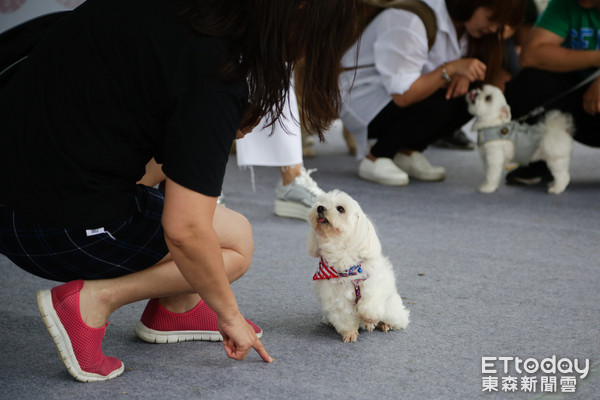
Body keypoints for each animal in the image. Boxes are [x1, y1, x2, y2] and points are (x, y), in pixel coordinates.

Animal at [308, 189, 410, 342]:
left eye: (340, 209)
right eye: (320, 203)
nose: (320, 208)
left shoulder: (374, 285)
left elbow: (369, 307)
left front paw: (369, 321)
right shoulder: (335, 298)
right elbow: (345, 318)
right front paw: (350, 333)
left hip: (392, 310)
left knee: (400, 319)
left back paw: (385, 324)